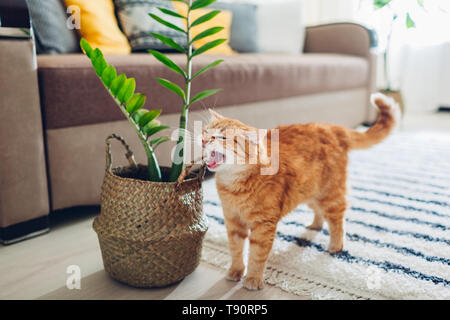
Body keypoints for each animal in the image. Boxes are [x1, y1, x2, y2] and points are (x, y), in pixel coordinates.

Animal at [202, 93, 400, 290]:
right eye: (205, 131)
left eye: (222, 138)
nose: (203, 140)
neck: (233, 187)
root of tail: (330, 126)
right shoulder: (232, 221)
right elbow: (236, 250)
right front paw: (235, 271)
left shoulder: (263, 226)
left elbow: (257, 256)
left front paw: (252, 279)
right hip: (310, 193)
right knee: (320, 213)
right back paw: (315, 225)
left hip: (330, 195)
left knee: (337, 222)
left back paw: (335, 246)